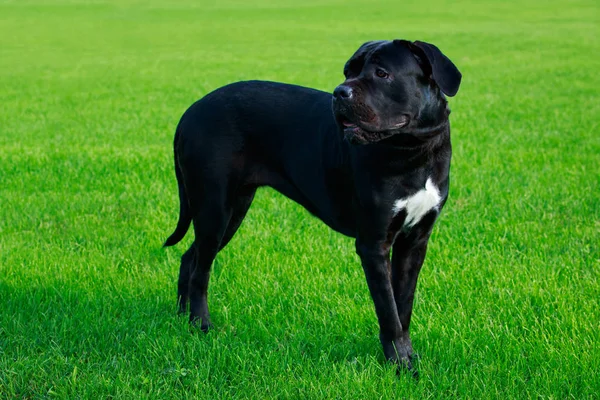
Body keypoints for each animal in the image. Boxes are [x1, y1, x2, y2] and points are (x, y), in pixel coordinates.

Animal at [162, 38, 462, 372]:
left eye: (382, 73)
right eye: (348, 71)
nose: (340, 91)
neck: (415, 150)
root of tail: (190, 112)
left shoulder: (415, 240)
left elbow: (403, 304)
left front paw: (407, 356)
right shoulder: (373, 244)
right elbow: (388, 310)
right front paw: (399, 363)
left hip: (232, 209)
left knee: (190, 257)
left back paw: (181, 318)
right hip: (215, 207)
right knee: (201, 269)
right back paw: (201, 324)